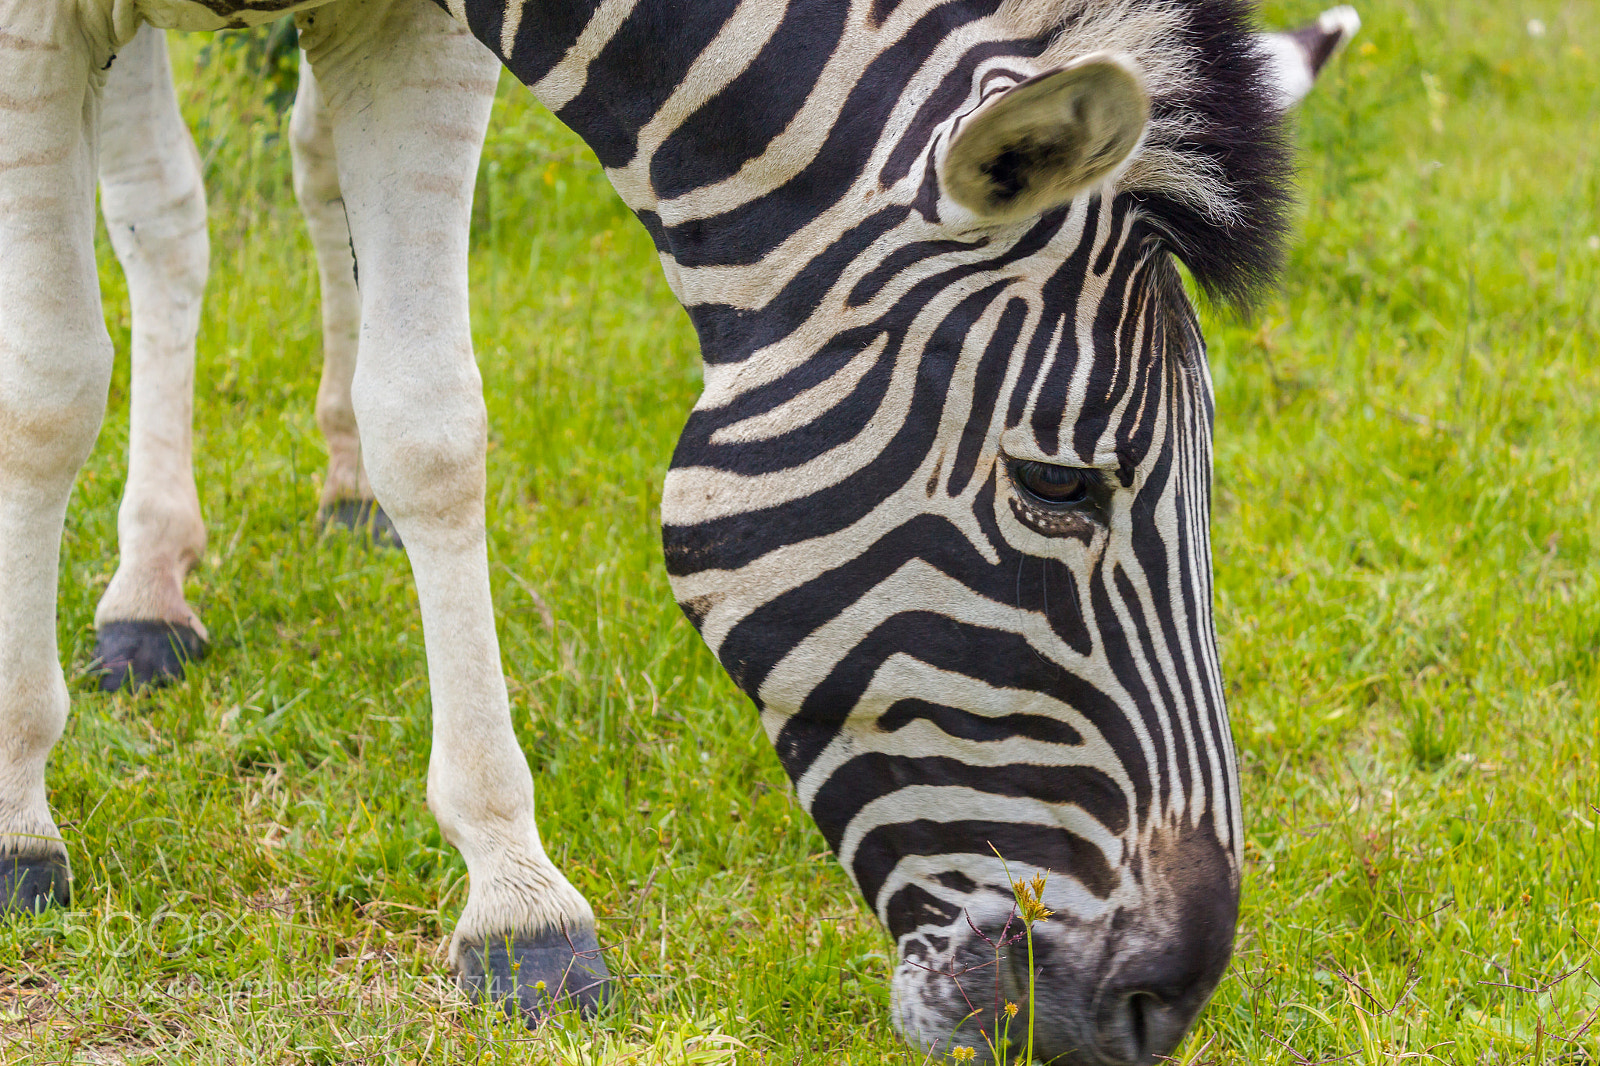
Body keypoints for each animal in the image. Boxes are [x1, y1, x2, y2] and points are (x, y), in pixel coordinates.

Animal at [0, 1, 1349, 1062]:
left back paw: (333, 493)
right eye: (1055, 485)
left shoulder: (409, 27)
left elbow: (429, 423)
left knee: (299, 162)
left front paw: (516, 896)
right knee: (164, 216)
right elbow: (48, 390)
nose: (1162, 1004)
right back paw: (147, 587)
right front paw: (19, 818)